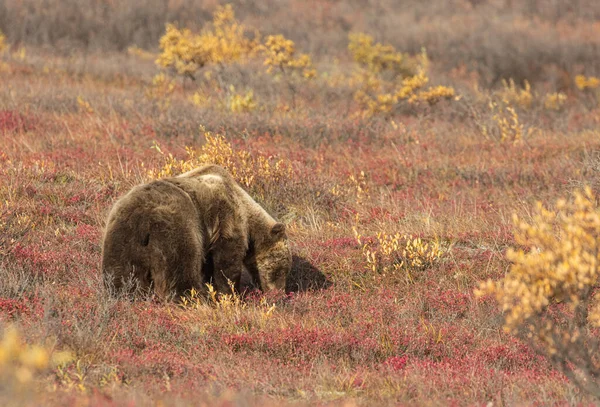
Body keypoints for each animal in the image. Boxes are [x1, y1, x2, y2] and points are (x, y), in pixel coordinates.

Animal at [101, 163, 292, 300]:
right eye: (281, 269)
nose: (279, 294)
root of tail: (143, 217)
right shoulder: (227, 219)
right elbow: (227, 262)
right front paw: (230, 293)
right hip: (178, 226)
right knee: (182, 266)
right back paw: (192, 297)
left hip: (122, 233)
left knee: (120, 271)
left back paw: (123, 294)